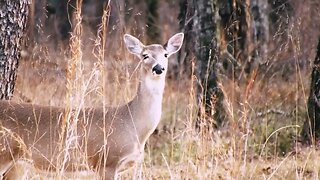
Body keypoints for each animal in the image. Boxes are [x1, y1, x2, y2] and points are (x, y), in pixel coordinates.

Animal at [0, 33, 185, 179]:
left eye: (166, 55)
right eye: (145, 55)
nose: (158, 68)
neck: (133, 124)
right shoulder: (106, 160)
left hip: (18, 164)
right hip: (4, 153)